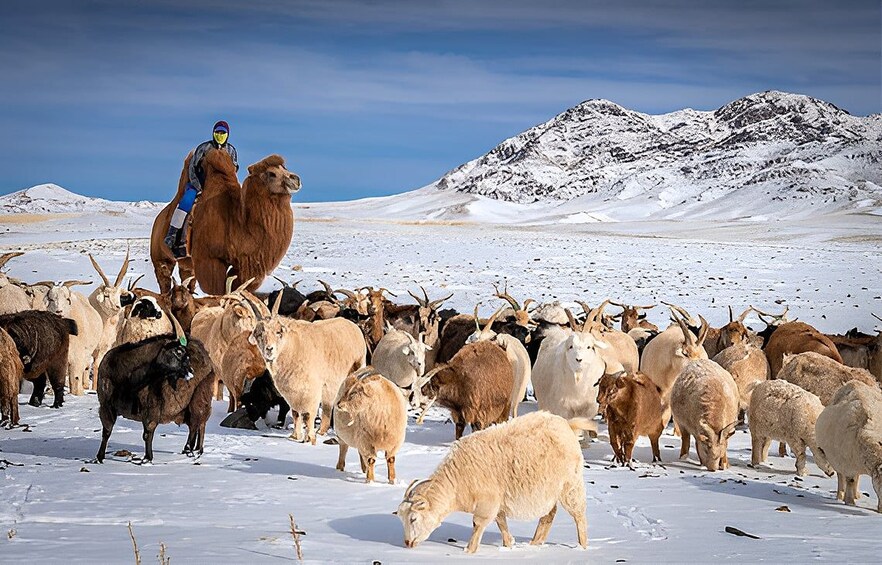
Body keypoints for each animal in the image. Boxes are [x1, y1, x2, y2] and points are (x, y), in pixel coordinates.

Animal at [150, 149, 300, 296]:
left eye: (285, 168)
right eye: (271, 173)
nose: (296, 179)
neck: (238, 224)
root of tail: (159, 218)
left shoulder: (243, 265)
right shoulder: (209, 258)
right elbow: (217, 290)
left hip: (186, 262)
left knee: (187, 276)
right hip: (160, 254)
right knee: (164, 276)